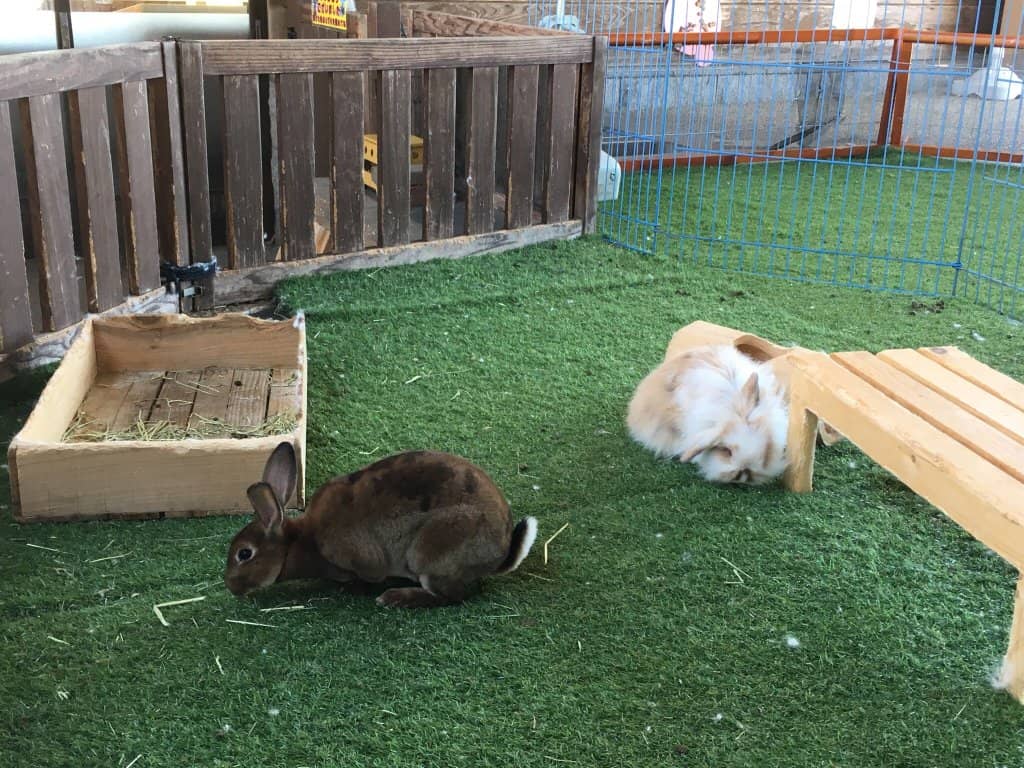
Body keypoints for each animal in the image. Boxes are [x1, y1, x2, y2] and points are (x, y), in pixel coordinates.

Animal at [224, 442, 538, 608]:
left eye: (244, 554)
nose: (231, 587)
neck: (302, 540)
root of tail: (500, 553)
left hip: (431, 554)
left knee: (452, 596)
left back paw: (395, 598)